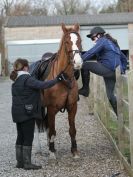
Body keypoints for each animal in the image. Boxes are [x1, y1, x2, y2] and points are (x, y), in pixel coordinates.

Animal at [38, 23, 82, 159]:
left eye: (79, 41)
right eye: (67, 42)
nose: (78, 62)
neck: (63, 78)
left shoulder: (72, 107)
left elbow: (72, 130)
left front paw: (74, 151)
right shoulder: (52, 108)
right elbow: (52, 130)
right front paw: (52, 152)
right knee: (48, 125)